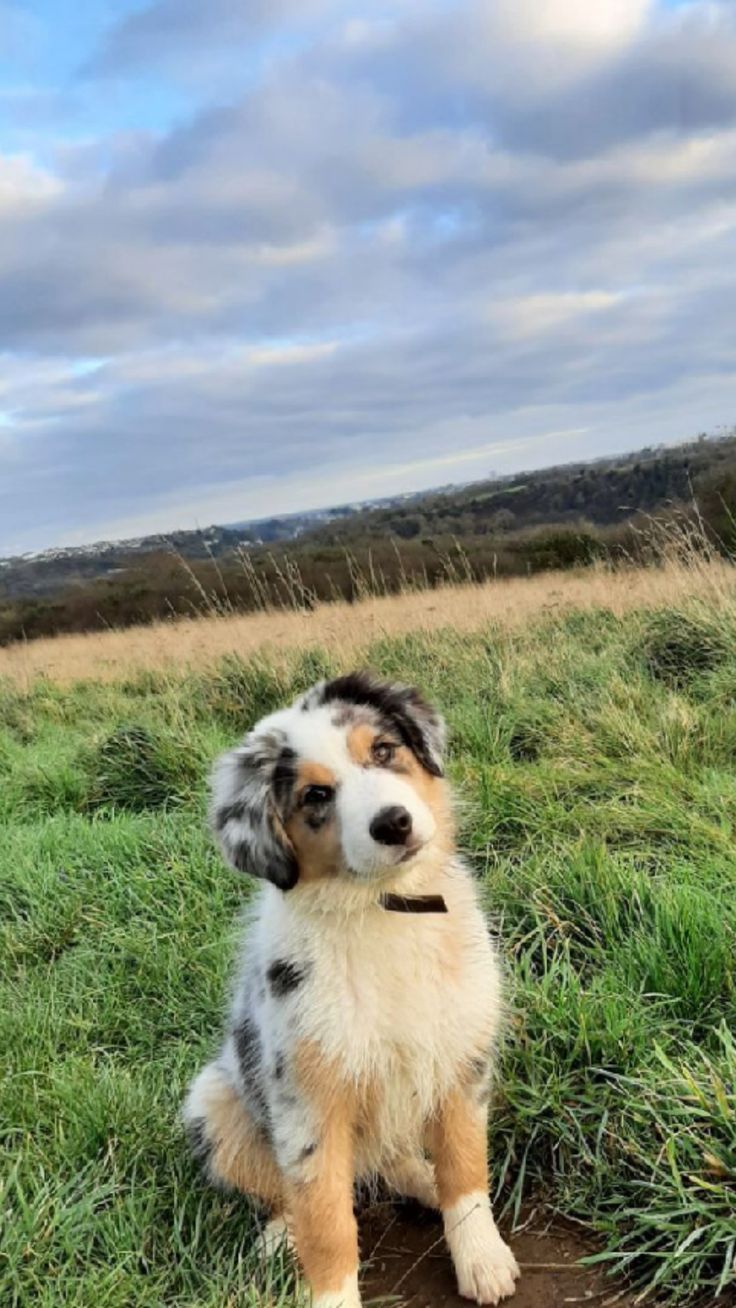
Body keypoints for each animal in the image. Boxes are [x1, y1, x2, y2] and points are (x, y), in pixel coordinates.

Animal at [183, 674, 517, 1308]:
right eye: (315, 796)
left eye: (383, 751)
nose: (394, 823)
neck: (383, 908)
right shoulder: (308, 1106)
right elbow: (327, 1222)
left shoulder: (461, 1059)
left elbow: (465, 1168)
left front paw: (482, 1260)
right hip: (212, 1101)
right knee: (282, 1192)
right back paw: (279, 1237)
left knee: (396, 1161)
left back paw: (423, 1179)